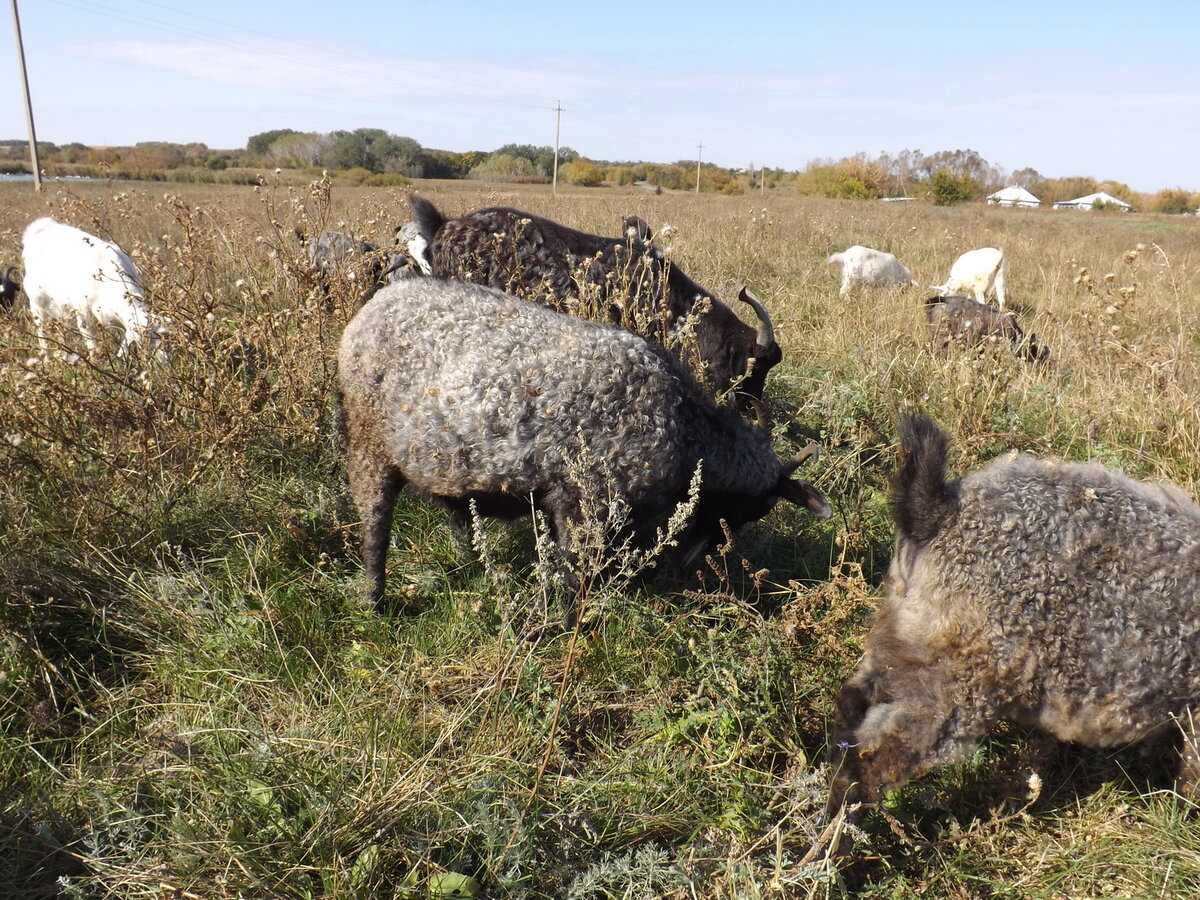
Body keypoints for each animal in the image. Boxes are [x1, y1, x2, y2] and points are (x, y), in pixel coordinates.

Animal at [333, 278, 830, 628]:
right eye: (754, 508)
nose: (692, 562)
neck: (681, 422)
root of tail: (369, 311)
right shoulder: (580, 502)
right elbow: (573, 573)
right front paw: (556, 624)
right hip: (367, 444)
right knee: (375, 520)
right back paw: (373, 599)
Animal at [830, 420, 1200, 849]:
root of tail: (941, 509)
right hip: (955, 683)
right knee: (876, 759)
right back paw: (839, 849)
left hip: (904, 639)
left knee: (851, 710)